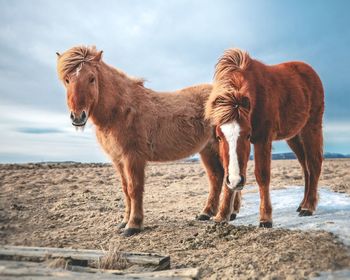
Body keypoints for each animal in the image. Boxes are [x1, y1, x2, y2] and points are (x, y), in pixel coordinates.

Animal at [55, 46, 241, 236]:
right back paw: (212, 213)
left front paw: (133, 225)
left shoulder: (133, 157)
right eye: (67, 80)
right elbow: (125, 189)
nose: (78, 117)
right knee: (216, 177)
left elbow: (134, 189)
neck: (121, 110)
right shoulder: (118, 160)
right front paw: (124, 221)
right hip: (207, 150)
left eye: (92, 78)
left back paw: (222, 216)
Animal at [206, 48, 324, 228]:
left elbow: (262, 175)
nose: (236, 181)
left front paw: (265, 218)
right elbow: (228, 170)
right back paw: (302, 204)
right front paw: (222, 215)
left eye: (248, 135)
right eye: (219, 137)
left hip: (311, 128)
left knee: (314, 164)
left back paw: (308, 207)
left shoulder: (262, 140)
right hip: (294, 137)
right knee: (306, 168)